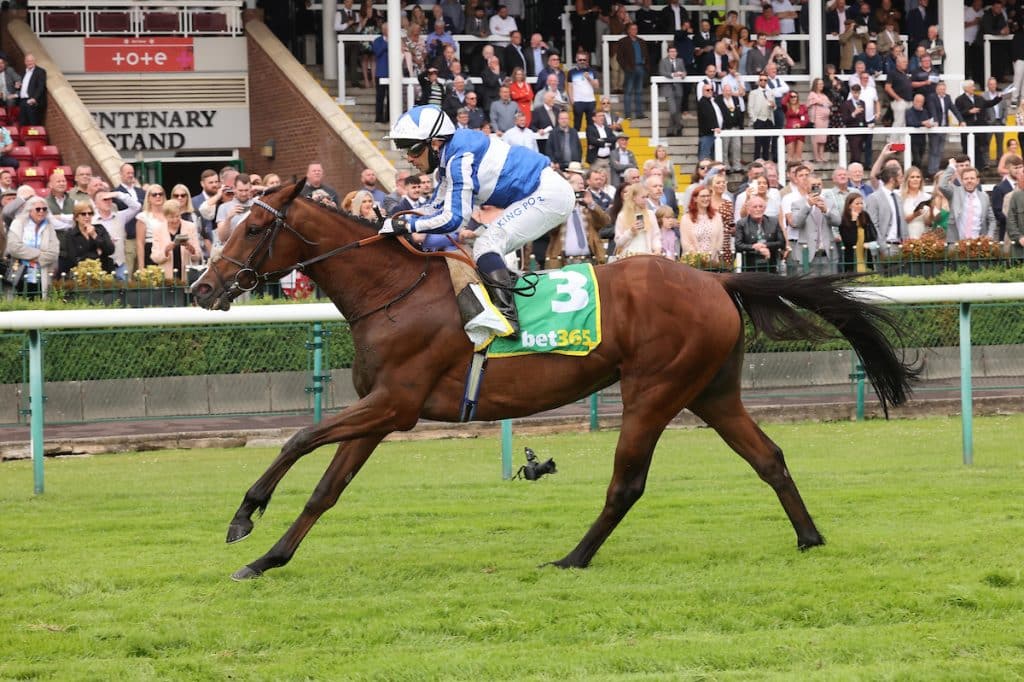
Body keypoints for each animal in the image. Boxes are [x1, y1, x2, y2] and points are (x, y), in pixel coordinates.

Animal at [193, 178, 921, 577]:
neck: (392, 291)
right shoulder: (380, 409)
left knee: (627, 483)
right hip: (711, 392)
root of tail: (714, 279)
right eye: (227, 220)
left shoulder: (395, 404)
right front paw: (266, 559)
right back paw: (809, 536)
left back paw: (573, 557)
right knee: (768, 457)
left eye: (253, 228)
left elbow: (297, 440)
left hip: (653, 390)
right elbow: (326, 489)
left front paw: (244, 517)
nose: (202, 287)